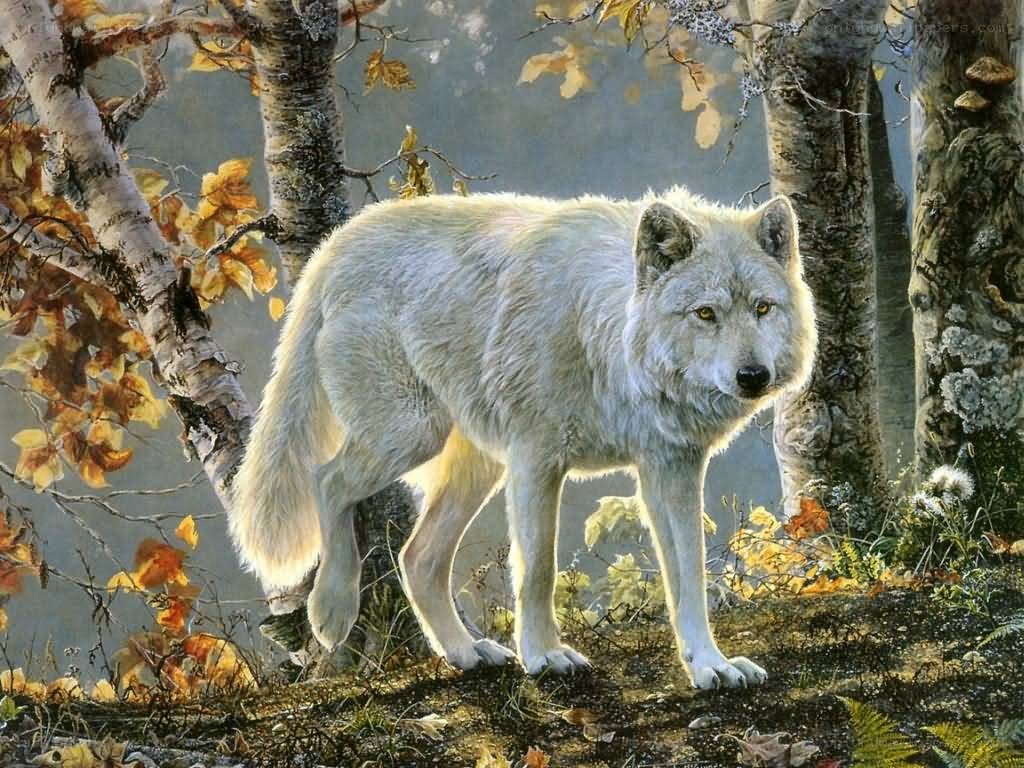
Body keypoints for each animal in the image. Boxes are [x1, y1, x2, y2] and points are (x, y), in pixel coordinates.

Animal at [231, 187, 816, 689]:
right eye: (705, 314)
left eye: (763, 308)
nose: (753, 376)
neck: (604, 335)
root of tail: (337, 246)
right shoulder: (537, 461)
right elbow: (537, 569)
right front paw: (543, 655)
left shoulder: (671, 468)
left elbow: (690, 573)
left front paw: (709, 665)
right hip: (411, 434)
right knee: (325, 479)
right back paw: (331, 610)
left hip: (474, 467)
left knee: (417, 558)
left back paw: (465, 652)